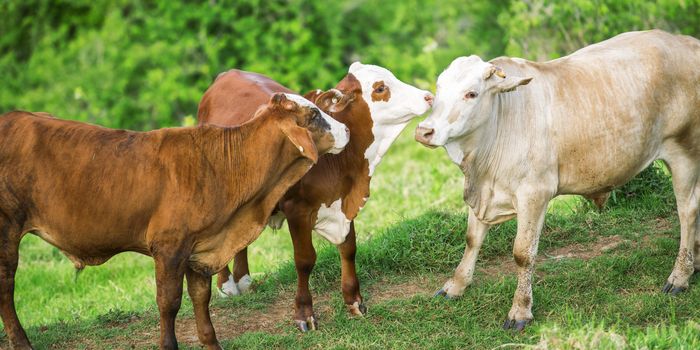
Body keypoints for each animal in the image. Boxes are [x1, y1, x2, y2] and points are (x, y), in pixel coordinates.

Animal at [0, 93, 350, 350]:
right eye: (314, 115)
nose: (347, 130)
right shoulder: (169, 248)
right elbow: (168, 303)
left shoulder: (200, 248)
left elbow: (200, 297)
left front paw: (211, 343)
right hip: (6, 231)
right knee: (6, 287)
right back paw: (22, 342)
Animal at [197, 63, 434, 330]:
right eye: (380, 88)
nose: (428, 96)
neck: (342, 162)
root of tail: (226, 74)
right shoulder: (297, 210)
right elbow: (305, 260)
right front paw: (304, 313)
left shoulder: (344, 203)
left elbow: (349, 249)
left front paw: (354, 301)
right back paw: (227, 284)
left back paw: (243, 279)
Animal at [416, 30, 700, 330]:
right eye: (438, 89)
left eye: (471, 93)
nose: (424, 131)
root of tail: (687, 42)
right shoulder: (484, 193)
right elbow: (472, 238)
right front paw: (455, 286)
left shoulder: (534, 193)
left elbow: (522, 253)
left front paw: (520, 310)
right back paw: (695, 261)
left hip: (684, 151)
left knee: (688, 210)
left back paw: (680, 276)